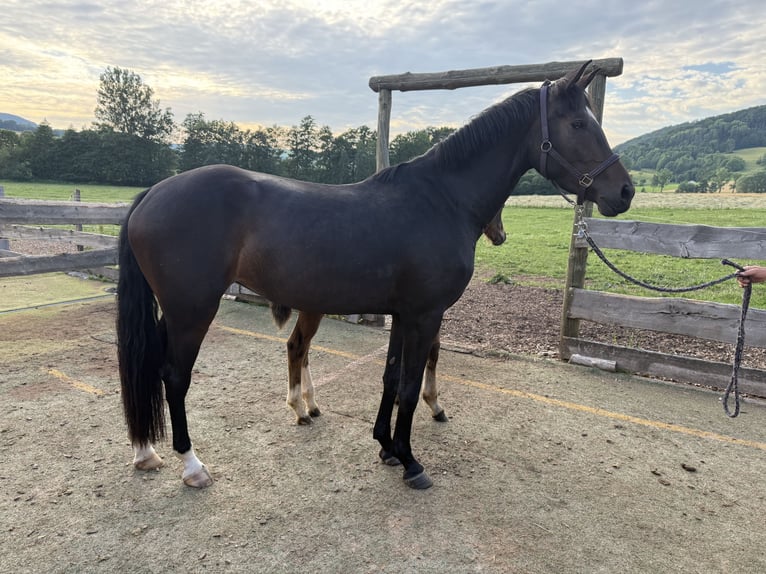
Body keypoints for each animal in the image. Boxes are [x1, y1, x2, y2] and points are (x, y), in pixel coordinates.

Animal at [279, 209, 506, 426]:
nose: (501, 236)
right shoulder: (428, 312)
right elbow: (433, 351)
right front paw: (434, 404)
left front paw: (398, 398)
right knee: (296, 346)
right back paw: (301, 410)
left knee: (304, 349)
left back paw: (312, 406)